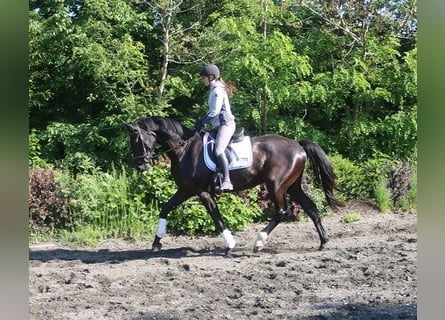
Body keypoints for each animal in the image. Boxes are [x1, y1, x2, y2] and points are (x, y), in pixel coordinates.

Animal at [123, 116, 342, 256]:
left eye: (137, 140)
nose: (141, 166)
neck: (184, 150)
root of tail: (297, 145)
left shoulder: (202, 192)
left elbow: (216, 217)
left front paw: (229, 245)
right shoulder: (185, 190)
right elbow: (165, 208)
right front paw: (156, 242)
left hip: (276, 185)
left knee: (282, 211)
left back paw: (259, 242)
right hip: (293, 186)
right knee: (311, 208)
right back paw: (323, 242)